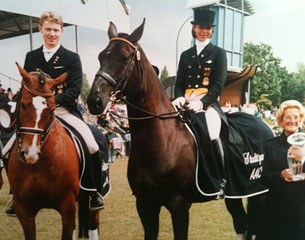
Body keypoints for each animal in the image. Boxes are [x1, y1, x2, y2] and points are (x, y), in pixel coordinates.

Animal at [7, 64, 98, 240]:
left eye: (49, 109)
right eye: (23, 104)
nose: (30, 154)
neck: (38, 165)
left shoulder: (67, 205)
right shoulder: (23, 209)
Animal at [86, 21, 272, 240]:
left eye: (124, 57)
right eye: (100, 56)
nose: (95, 101)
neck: (162, 140)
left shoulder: (179, 205)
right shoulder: (145, 205)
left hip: (259, 192)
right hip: (236, 193)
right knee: (241, 223)